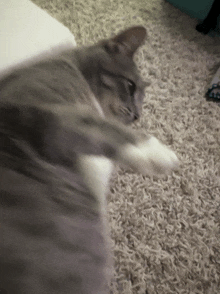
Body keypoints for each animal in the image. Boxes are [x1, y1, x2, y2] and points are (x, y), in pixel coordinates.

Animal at [0, 26, 179, 292]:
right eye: (130, 86)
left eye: (142, 100)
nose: (137, 115)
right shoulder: (42, 112)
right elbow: (94, 127)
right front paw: (157, 152)